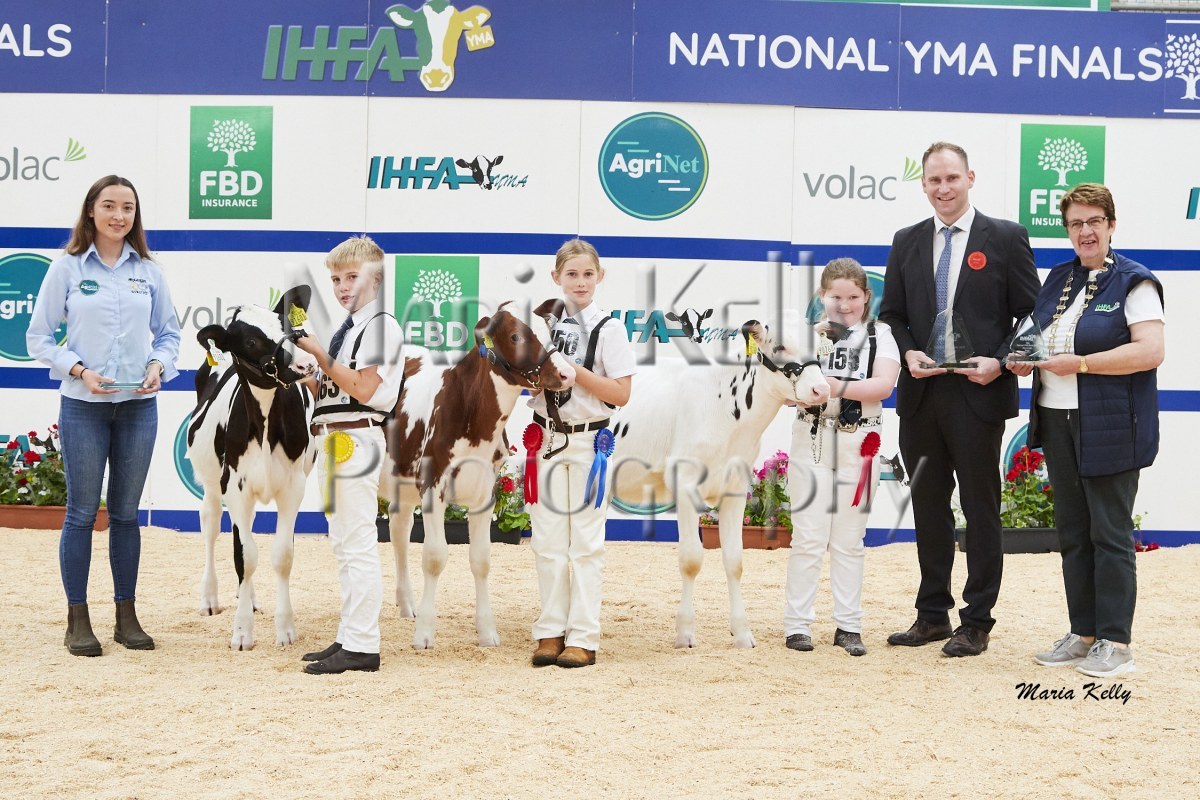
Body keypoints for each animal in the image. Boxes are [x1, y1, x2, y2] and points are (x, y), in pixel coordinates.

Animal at [187, 286, 317, 651]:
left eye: (286, 325)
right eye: (251, 340)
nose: (305, 364)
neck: (265, 427)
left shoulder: (293, 487)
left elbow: (280, 555)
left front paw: (285, 628)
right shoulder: (235, 487)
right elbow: (244, 556)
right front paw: (242, 632)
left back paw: (252, 598)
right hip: (212, 484)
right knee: (211, 526)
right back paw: (210, 598)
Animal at [383, 301, 575, 648]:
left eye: (550, 331)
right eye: (515, 336)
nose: (567, 374)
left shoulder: (487, 490)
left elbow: (481, 559)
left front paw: (487, 631)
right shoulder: (432, 485)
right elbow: (434, 557)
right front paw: (425, 634)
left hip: (402, 483)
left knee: (399, 532)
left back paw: (407, 605)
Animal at [609, 321, 829, 649]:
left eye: (819, 349)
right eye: (779, 347)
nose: (822, 390)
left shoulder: (736, 488)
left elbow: (735, 560)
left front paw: (742, 633)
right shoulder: (685, 483)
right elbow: (691, 559)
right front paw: (685, 633)